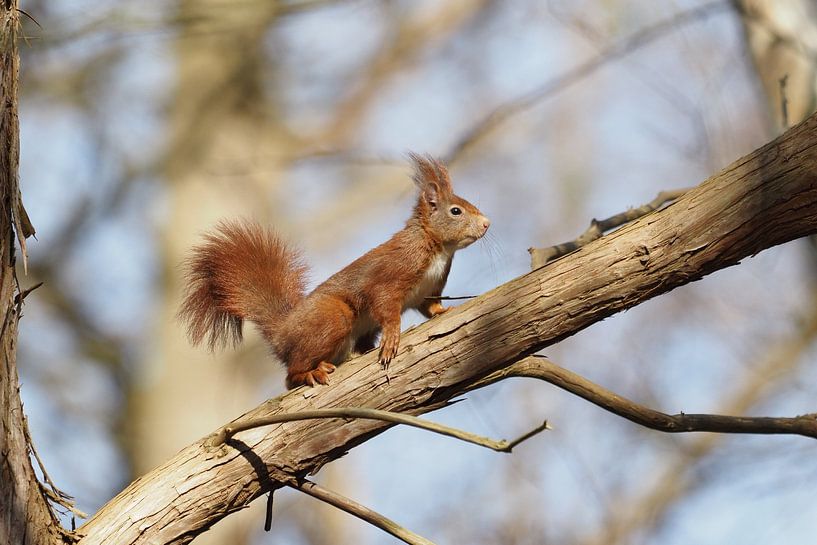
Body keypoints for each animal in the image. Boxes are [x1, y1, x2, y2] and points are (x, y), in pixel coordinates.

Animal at [178, 154, 490, 389]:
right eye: (456, 211)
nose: (487, 223)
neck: (438, 249)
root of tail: (283, 333)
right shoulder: (392, 272)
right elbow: (384, 304)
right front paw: (392, 337)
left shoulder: (430, 289)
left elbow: (431, 307)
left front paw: (444, 311)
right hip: (333, 316)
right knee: (290, 377)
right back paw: (309, 372)